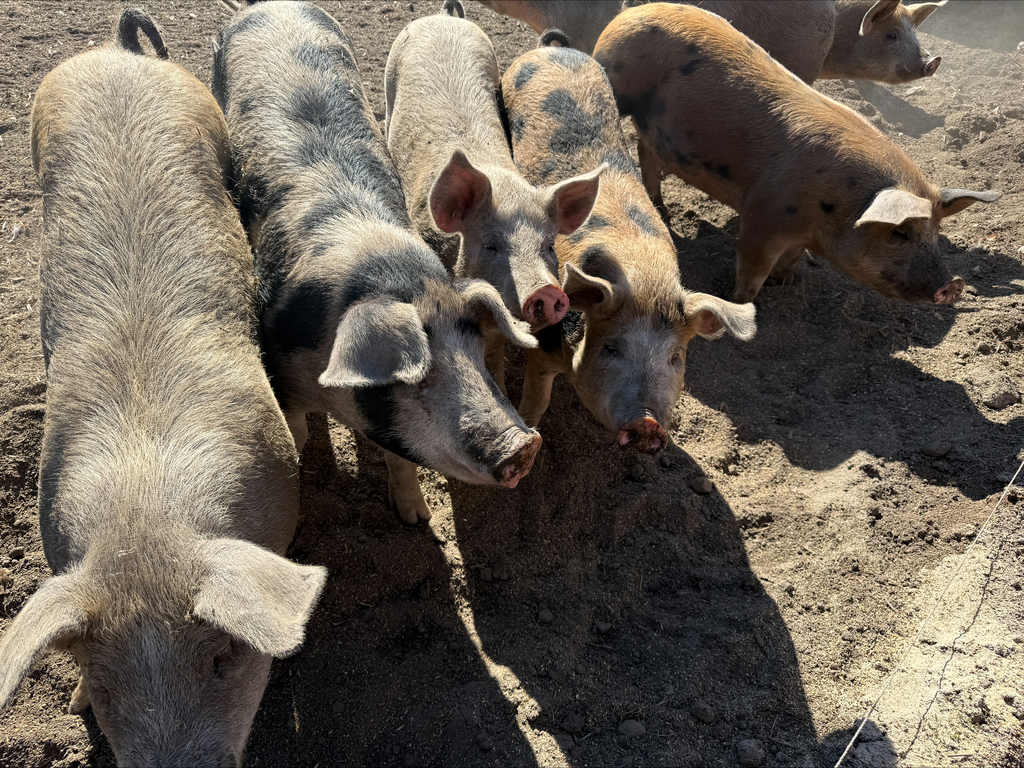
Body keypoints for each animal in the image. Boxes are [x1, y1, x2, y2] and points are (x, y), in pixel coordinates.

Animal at [213, 0, 542, 525]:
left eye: (476, 352)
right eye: (416, 377)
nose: (522, 446)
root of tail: (269, 6)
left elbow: (400, 460)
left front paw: (416, 520)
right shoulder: (280, 366)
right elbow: (296, 434)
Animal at [501, 34, 756, 452]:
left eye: (675, 358)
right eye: (611, 348)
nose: (647, 422)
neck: (643, 277)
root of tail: (552, 48)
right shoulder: (547, 344)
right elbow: (536, 401)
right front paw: (530, 430)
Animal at [593, 2, 1000, 305]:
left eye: (936, 231)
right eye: (899, 233)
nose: (953, 285)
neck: (832, 207)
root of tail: (630, 13)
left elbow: (790, 260)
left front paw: (786, 282)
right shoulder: (763, 218)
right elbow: (751, 270)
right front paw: (743, 302)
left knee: (647, 153)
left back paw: (661, 210)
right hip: (616, 80)